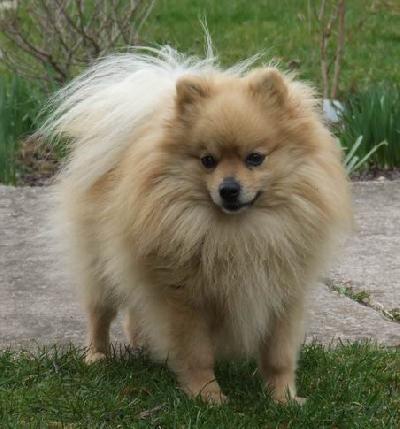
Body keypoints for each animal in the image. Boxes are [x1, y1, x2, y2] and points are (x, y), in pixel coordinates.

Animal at [43, 43, 352, 405]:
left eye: (255, 158)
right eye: (208, 161)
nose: (229, 189)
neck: (239, 232)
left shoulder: (283, 296)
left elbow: (279, 355)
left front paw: (283, 398)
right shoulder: (186, 299)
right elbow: (197, 354)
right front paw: (208, 397)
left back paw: (141, 344)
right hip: (98, 265)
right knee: (99, 313)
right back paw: (97, 357)